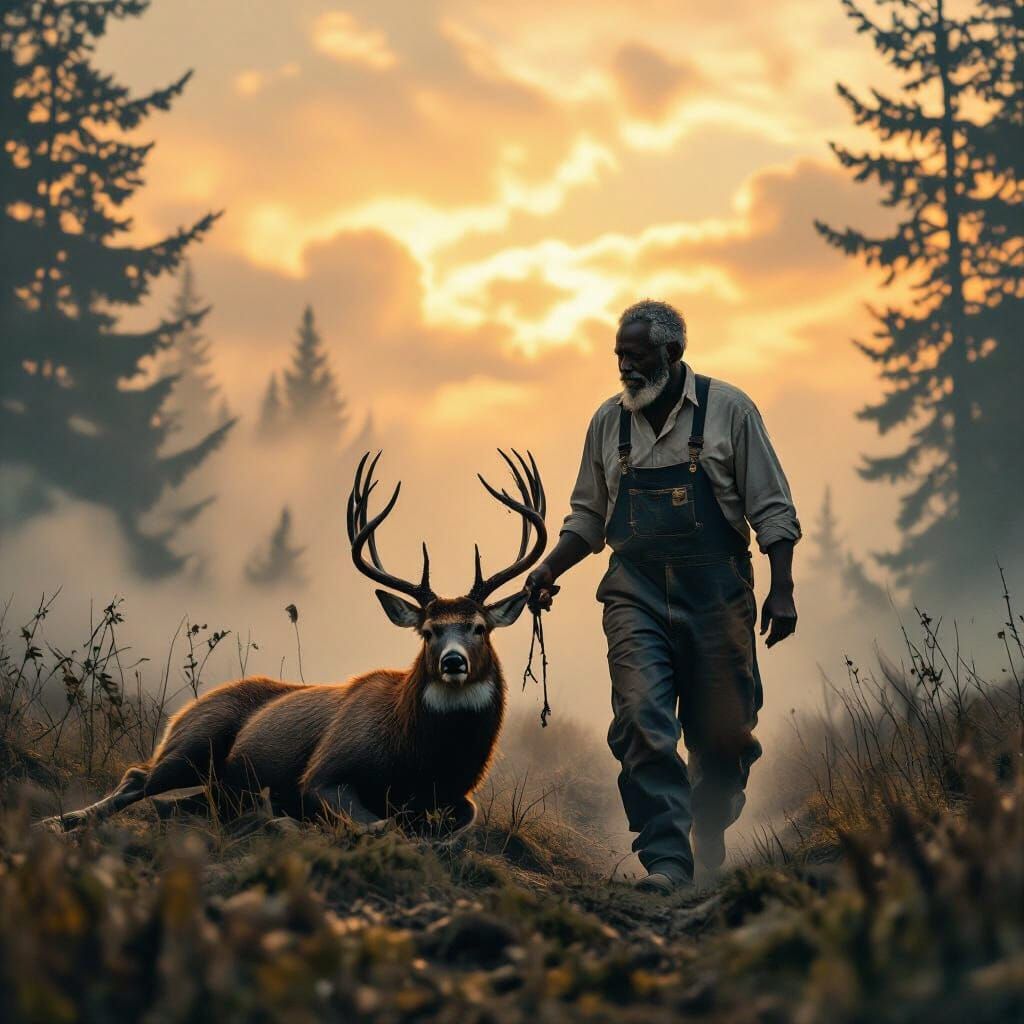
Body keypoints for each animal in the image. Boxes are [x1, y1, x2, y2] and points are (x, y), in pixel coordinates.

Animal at [41, 449, 548, 835]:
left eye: (479, 627)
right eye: (428, 631)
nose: (453, 662)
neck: (421, 758)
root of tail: (187, 707)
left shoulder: (457, 795)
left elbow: (462, 821)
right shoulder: (327, 767)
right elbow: (376, 823)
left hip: (213, 774)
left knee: (186, 798)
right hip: (194, 740)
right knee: (136, 776)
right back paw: (59, 821)